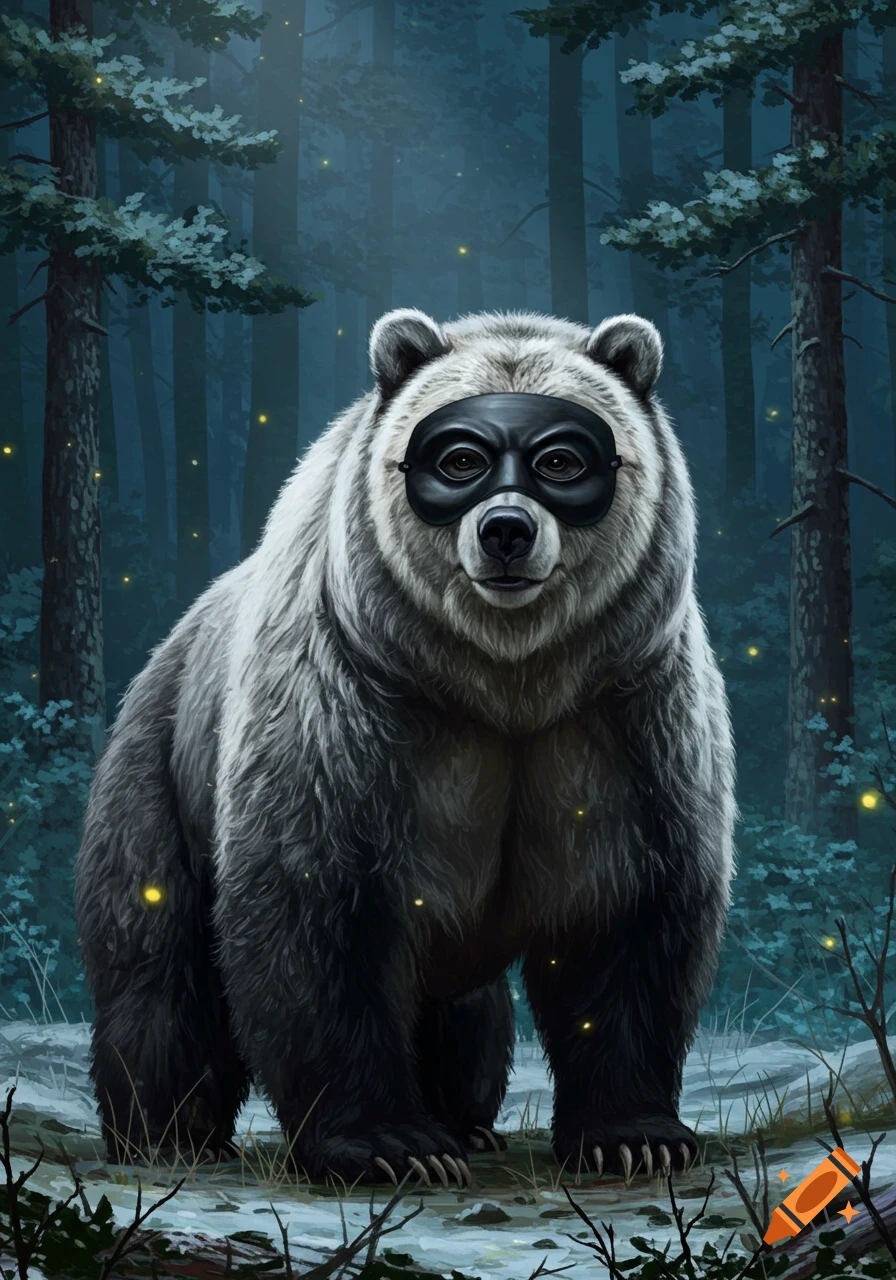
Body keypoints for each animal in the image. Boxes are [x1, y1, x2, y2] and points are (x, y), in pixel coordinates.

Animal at [74, 306, 736, 1189]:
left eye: (561, 460)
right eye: (460, 459)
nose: (505, 532)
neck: (505, 682)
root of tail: (163, 650)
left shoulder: (627, 713)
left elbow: (628, 912)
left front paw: (635, 1135)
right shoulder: (349, 699)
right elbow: (318, 905)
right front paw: (390, 1145)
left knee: (463, 1015)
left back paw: (467, 1121)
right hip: (161, 776)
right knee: (159, 966)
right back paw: (166, 1133)